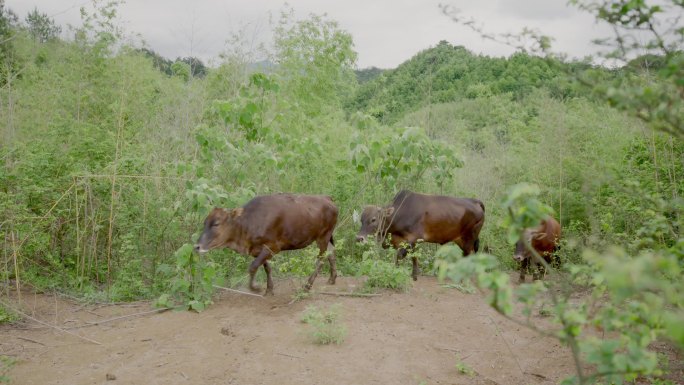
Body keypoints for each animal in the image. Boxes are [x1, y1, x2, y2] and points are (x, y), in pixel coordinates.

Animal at [194, 192, 338, 294]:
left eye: (216, 223)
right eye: (204, 223)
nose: (197, 246)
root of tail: (326, 198)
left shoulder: (273, 247)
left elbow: (253, 266)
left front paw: (255, 288)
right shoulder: (258, 249)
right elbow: (266, 267)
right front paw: (269, 289)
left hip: (323, 236)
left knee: (321, 260)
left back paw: (307, 285)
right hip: (326, 237)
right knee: (331, 253)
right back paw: (332, 278)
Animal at [358, 190, 486, 280]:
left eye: (373, 219)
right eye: (361, 219)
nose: (359, 238)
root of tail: (476, 201)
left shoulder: (413, 238)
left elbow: (401, 255)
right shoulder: (406, 241)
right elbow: (412, 257)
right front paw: (413, 274)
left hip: (469, 238)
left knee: (470, 255)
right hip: (461, 240)